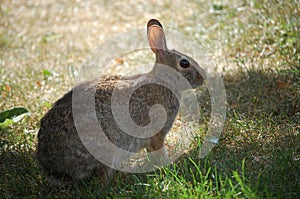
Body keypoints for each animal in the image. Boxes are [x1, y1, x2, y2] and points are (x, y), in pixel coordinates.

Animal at [35, 19, 206, 183]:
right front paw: (167, 164)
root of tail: (51, 166)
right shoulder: (157, 133)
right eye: (184, 63)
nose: (203, 78)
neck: (164, 81)